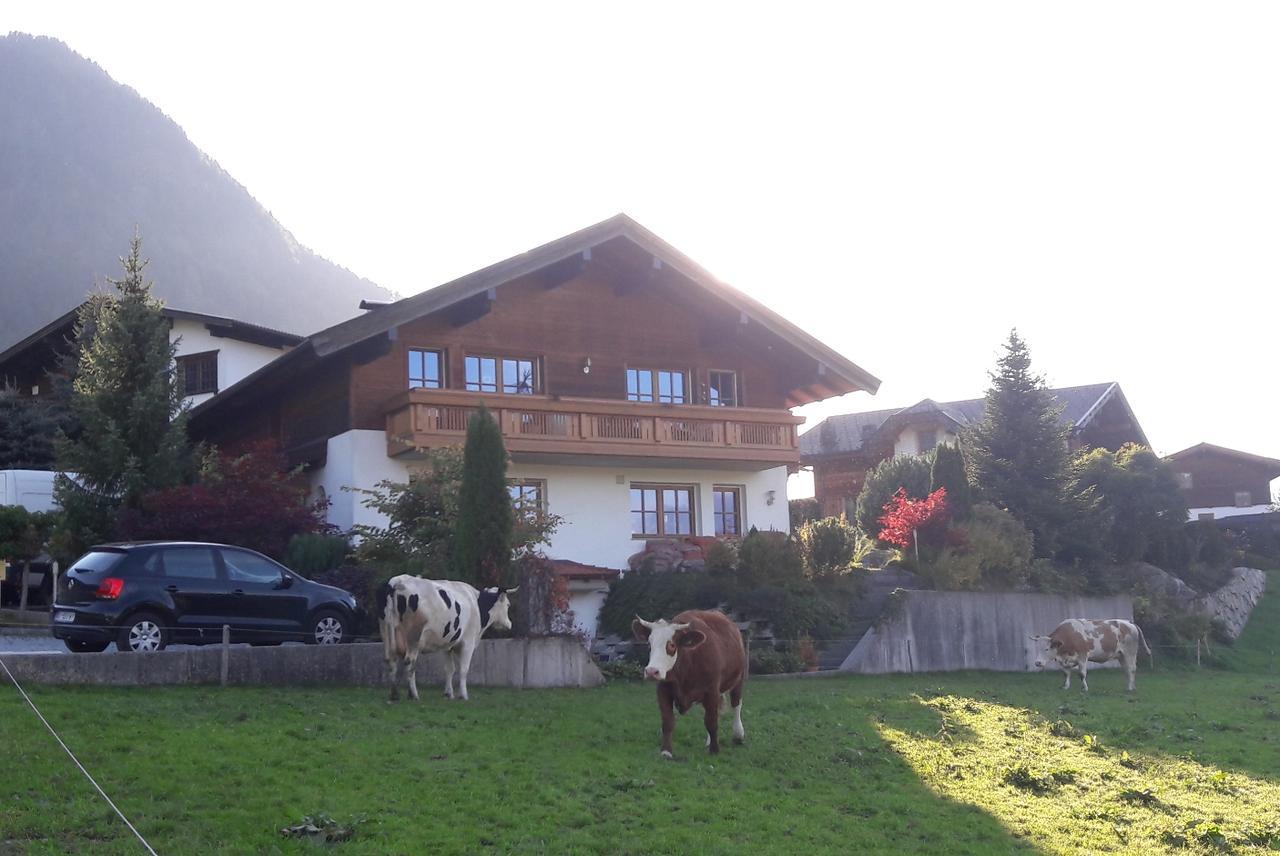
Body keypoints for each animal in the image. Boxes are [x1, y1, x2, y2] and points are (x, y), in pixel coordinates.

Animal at [378, 573, 514, 701]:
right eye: (508, 605)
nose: (510, 624)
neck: (476, 604)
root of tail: (397, 581)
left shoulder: (447, 645)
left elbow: (449, 669)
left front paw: (448, 693)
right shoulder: (468, 643)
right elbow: (463, 669)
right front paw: (463, 695)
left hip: (386, 632)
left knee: (390, 660)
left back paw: (394, 694)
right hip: (413, 637)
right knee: (409, 662)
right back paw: (413, 695)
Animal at [632, 603, 747, 757]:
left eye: (672, 645)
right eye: (649, 644)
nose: (651, 671)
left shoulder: (711, 690)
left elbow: (711, 721)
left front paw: (715, 750)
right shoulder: (663, 690)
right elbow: (668, 721)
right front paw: (666, 751)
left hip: (738, 678)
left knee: (736, 704)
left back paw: (738, 735)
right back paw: (709, 740)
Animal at [1024, 616, 1157, 690]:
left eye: (1046, 649)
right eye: (1038, 648)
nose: (1037, 663)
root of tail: (1128, 622)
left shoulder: (1082, 656)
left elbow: (1082, 674)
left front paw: (1085, 688)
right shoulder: (1064, 661)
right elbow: (1066, 673)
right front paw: (1066, 687)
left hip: (1130, 653)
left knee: (1132, 669)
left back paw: (1130, 688)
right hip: (1121, 655)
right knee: (1127, 670)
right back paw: (1131, 686)